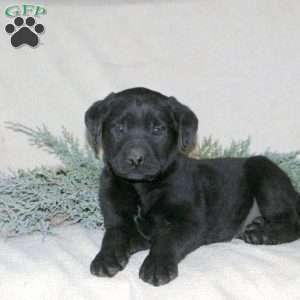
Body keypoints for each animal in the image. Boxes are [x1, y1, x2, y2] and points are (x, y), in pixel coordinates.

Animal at [84, 86, 300, 286]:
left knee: (293, 222)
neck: (142, 188)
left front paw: (157, 266)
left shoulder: (190, 223)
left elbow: (167, 240)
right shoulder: (119, 223)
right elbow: (112, 236)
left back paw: (262, 233)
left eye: (157, 130)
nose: (135, 158)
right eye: (119, 128)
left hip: (262, 170)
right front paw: (105, 258)